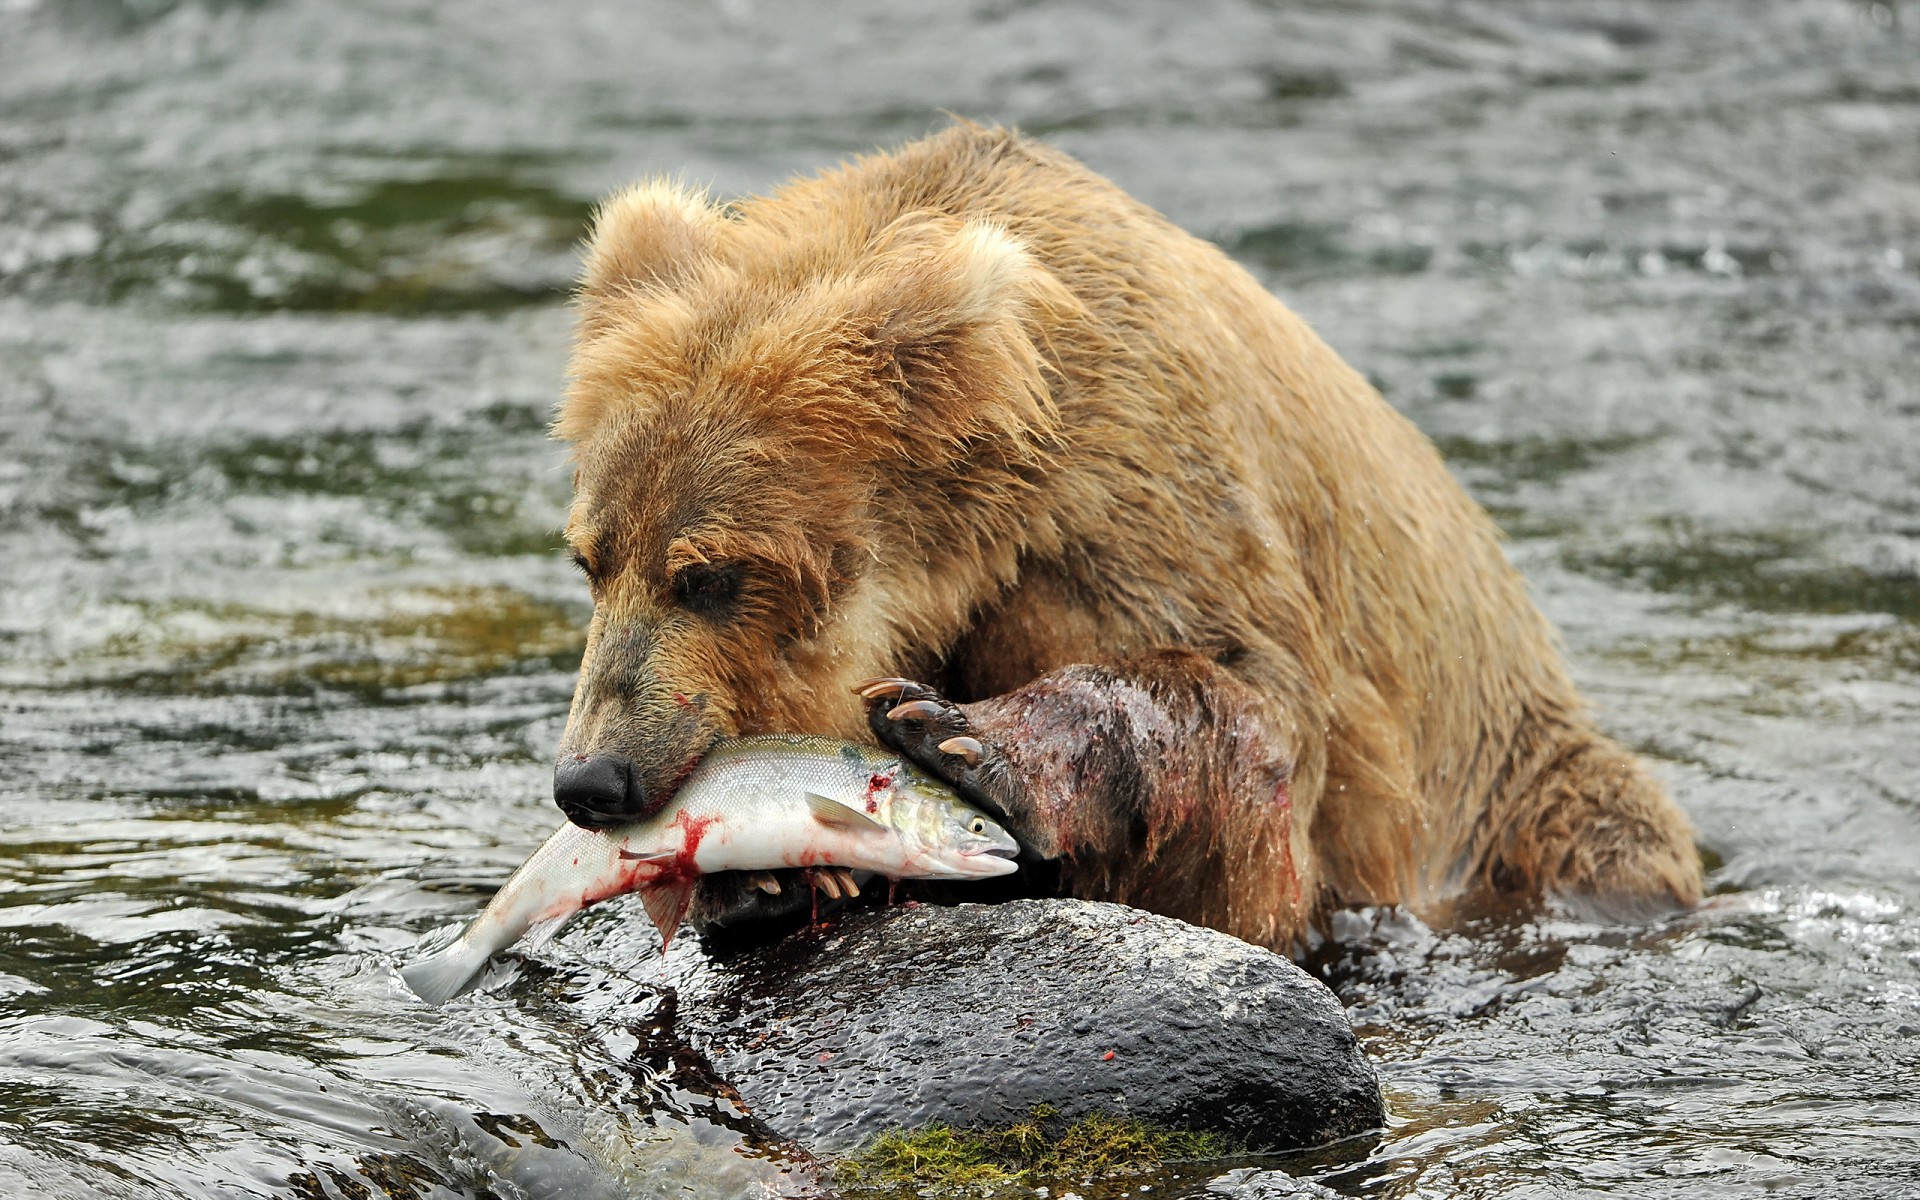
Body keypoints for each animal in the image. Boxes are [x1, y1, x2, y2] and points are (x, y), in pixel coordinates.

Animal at [549, 119, 1704, 944]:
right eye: (592, 560)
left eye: (712, 574)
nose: (593, 780)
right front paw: (764, 879)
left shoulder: (1142, 491)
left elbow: (1249, 707)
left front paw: (961, 734)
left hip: (1518, 786)